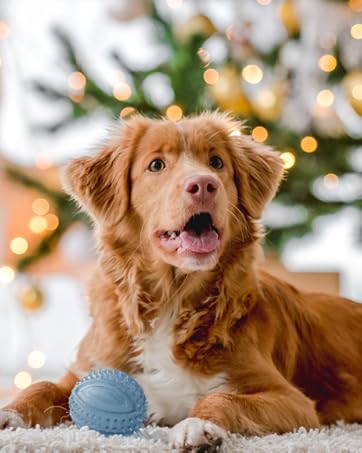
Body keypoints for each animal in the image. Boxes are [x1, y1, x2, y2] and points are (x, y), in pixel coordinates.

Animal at [0, 112, 362, 448]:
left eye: (216, 162)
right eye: (156, 165)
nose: (203, 184)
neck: (171, 300)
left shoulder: (293, 401)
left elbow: (221, 397)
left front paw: (197, 425)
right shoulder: (84, 371)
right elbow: (42, 385)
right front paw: (8, 414)